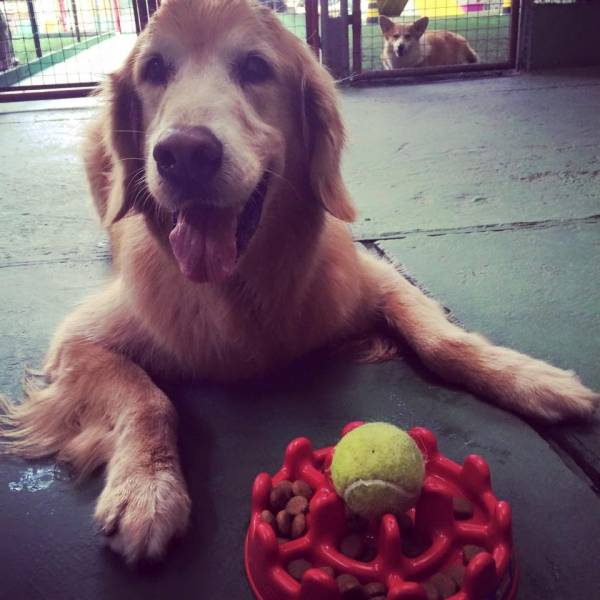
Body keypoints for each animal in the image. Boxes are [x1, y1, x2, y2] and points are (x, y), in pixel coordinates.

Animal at [1, 0, 596, 564]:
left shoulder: (375, 278)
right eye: (154, 69)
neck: (243, 288)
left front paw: (535, 380)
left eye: (255, 67)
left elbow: (442, 342)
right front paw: (147, 490)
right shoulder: (78, 340)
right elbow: (146, 398)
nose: (184, 154)